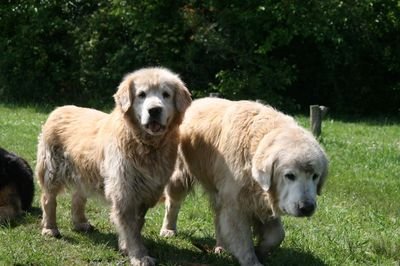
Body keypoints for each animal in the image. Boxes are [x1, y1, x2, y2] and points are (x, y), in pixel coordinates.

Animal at [159, 97, 328, 266]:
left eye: (315, 176)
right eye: (290, 175)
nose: (307, 207)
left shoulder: (263, 199)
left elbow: (278, 235)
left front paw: (262, 249)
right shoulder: (236, 203)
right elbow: (242, 238)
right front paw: (252, 260)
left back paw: (221, 246)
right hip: (180, 175)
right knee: (173, 203)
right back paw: (168, 230)